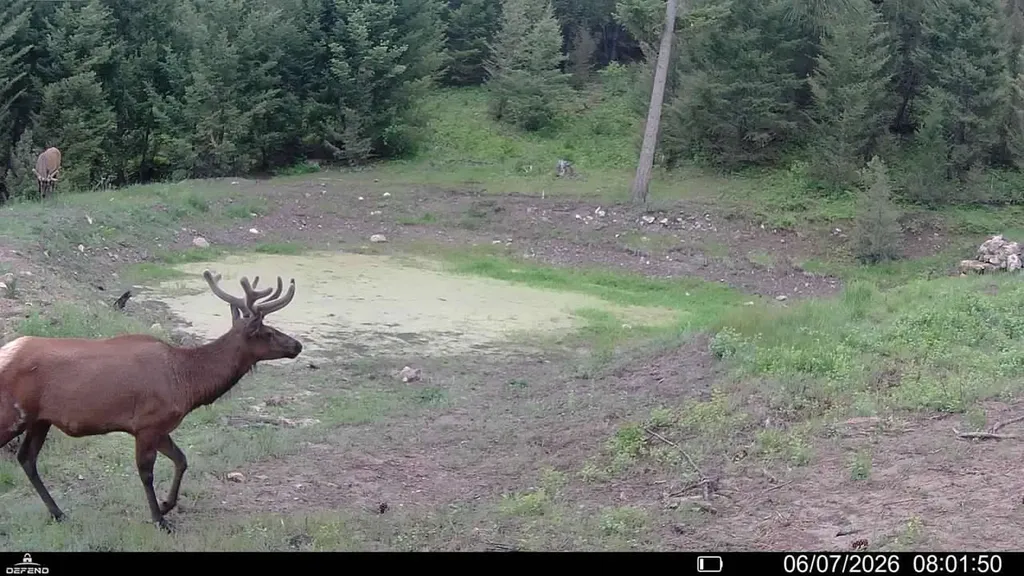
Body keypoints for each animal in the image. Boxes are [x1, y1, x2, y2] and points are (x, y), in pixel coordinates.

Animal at [0, 269, 302, 532]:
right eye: (268, 332)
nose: (297, 345)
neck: (187, 383)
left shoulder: (160, 426)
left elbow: (182, 460)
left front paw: (167, 504)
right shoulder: (147, 424)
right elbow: (147, 473)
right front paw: (159, 518)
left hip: (40, 419)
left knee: (26, 458)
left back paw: (58, 513)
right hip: (12, 415)